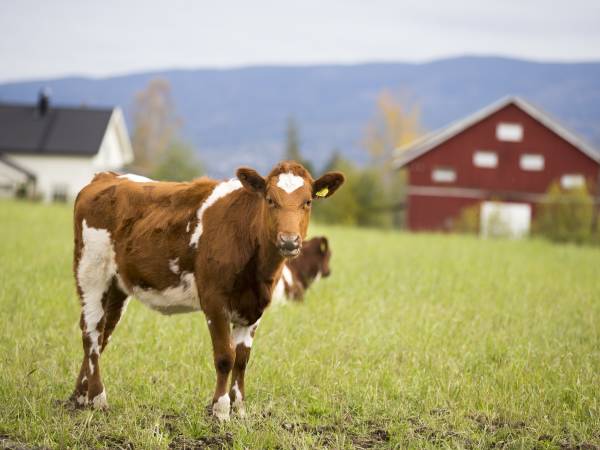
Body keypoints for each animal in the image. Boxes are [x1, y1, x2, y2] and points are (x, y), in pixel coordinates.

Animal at [69, 163, 342, 422]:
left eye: (307, 202)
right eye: (270, 199)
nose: (289, 241)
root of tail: (106, 176)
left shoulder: (254, 307)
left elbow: (242, 358)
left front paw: (239, 408)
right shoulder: (214, 300)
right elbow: (225, 357)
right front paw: (220, 409)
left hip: (117, 286)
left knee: (104, 334)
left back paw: (80, 396)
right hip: (91, 273)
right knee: (92, 332)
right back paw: (98, 398)